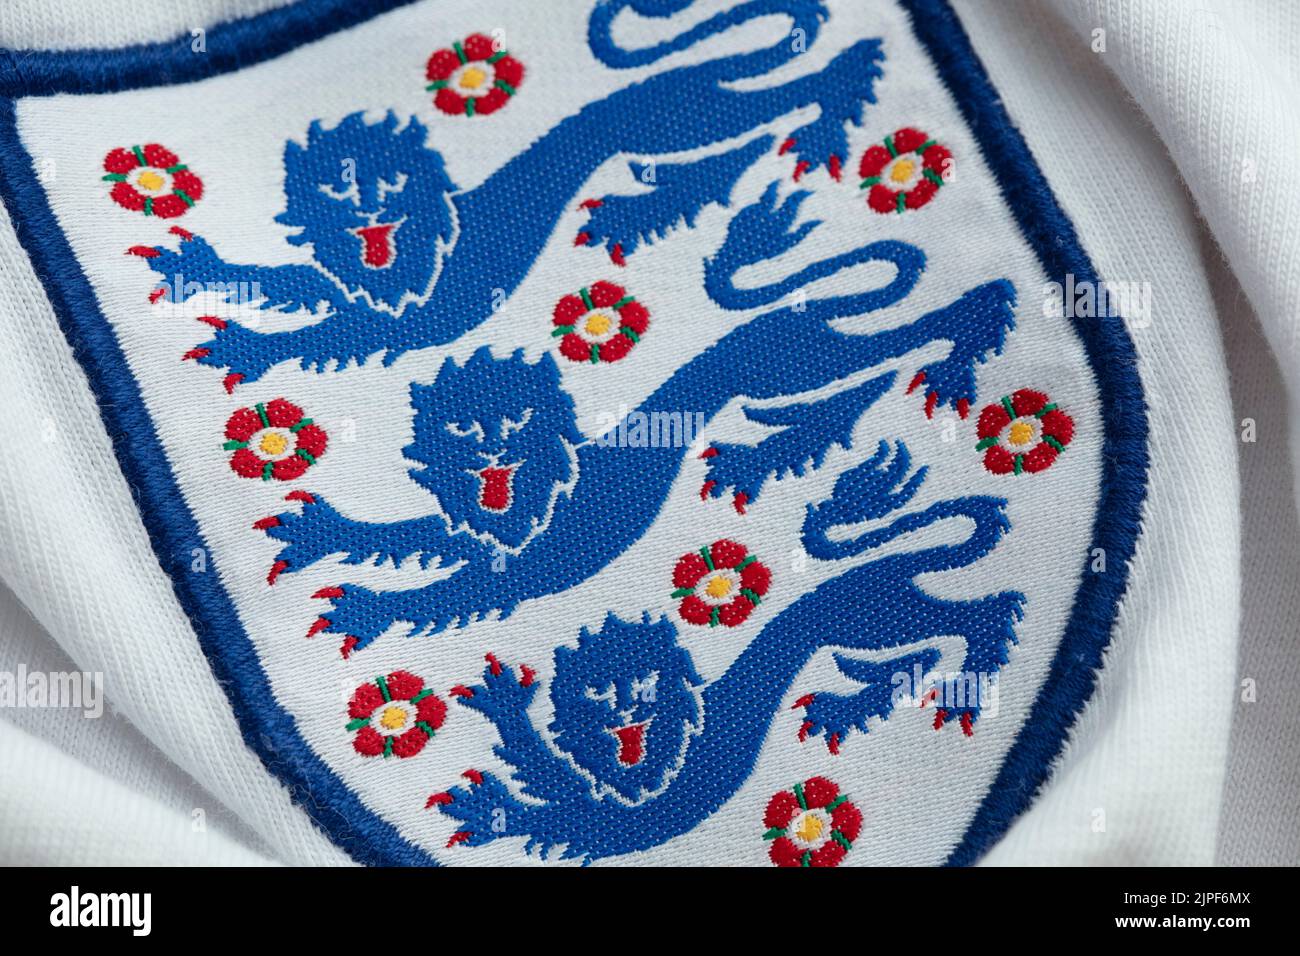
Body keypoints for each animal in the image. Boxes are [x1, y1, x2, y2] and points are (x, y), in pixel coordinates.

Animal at [426, 444, 1024, 863]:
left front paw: (486, 798)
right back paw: (852, 704)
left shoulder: (626, 812)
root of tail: (878, 567)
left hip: (870, 623)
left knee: (985, 615)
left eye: (647, 684)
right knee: (928, 648)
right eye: (595, 692)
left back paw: (959, 686)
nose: (626, 708)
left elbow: (546, 798)